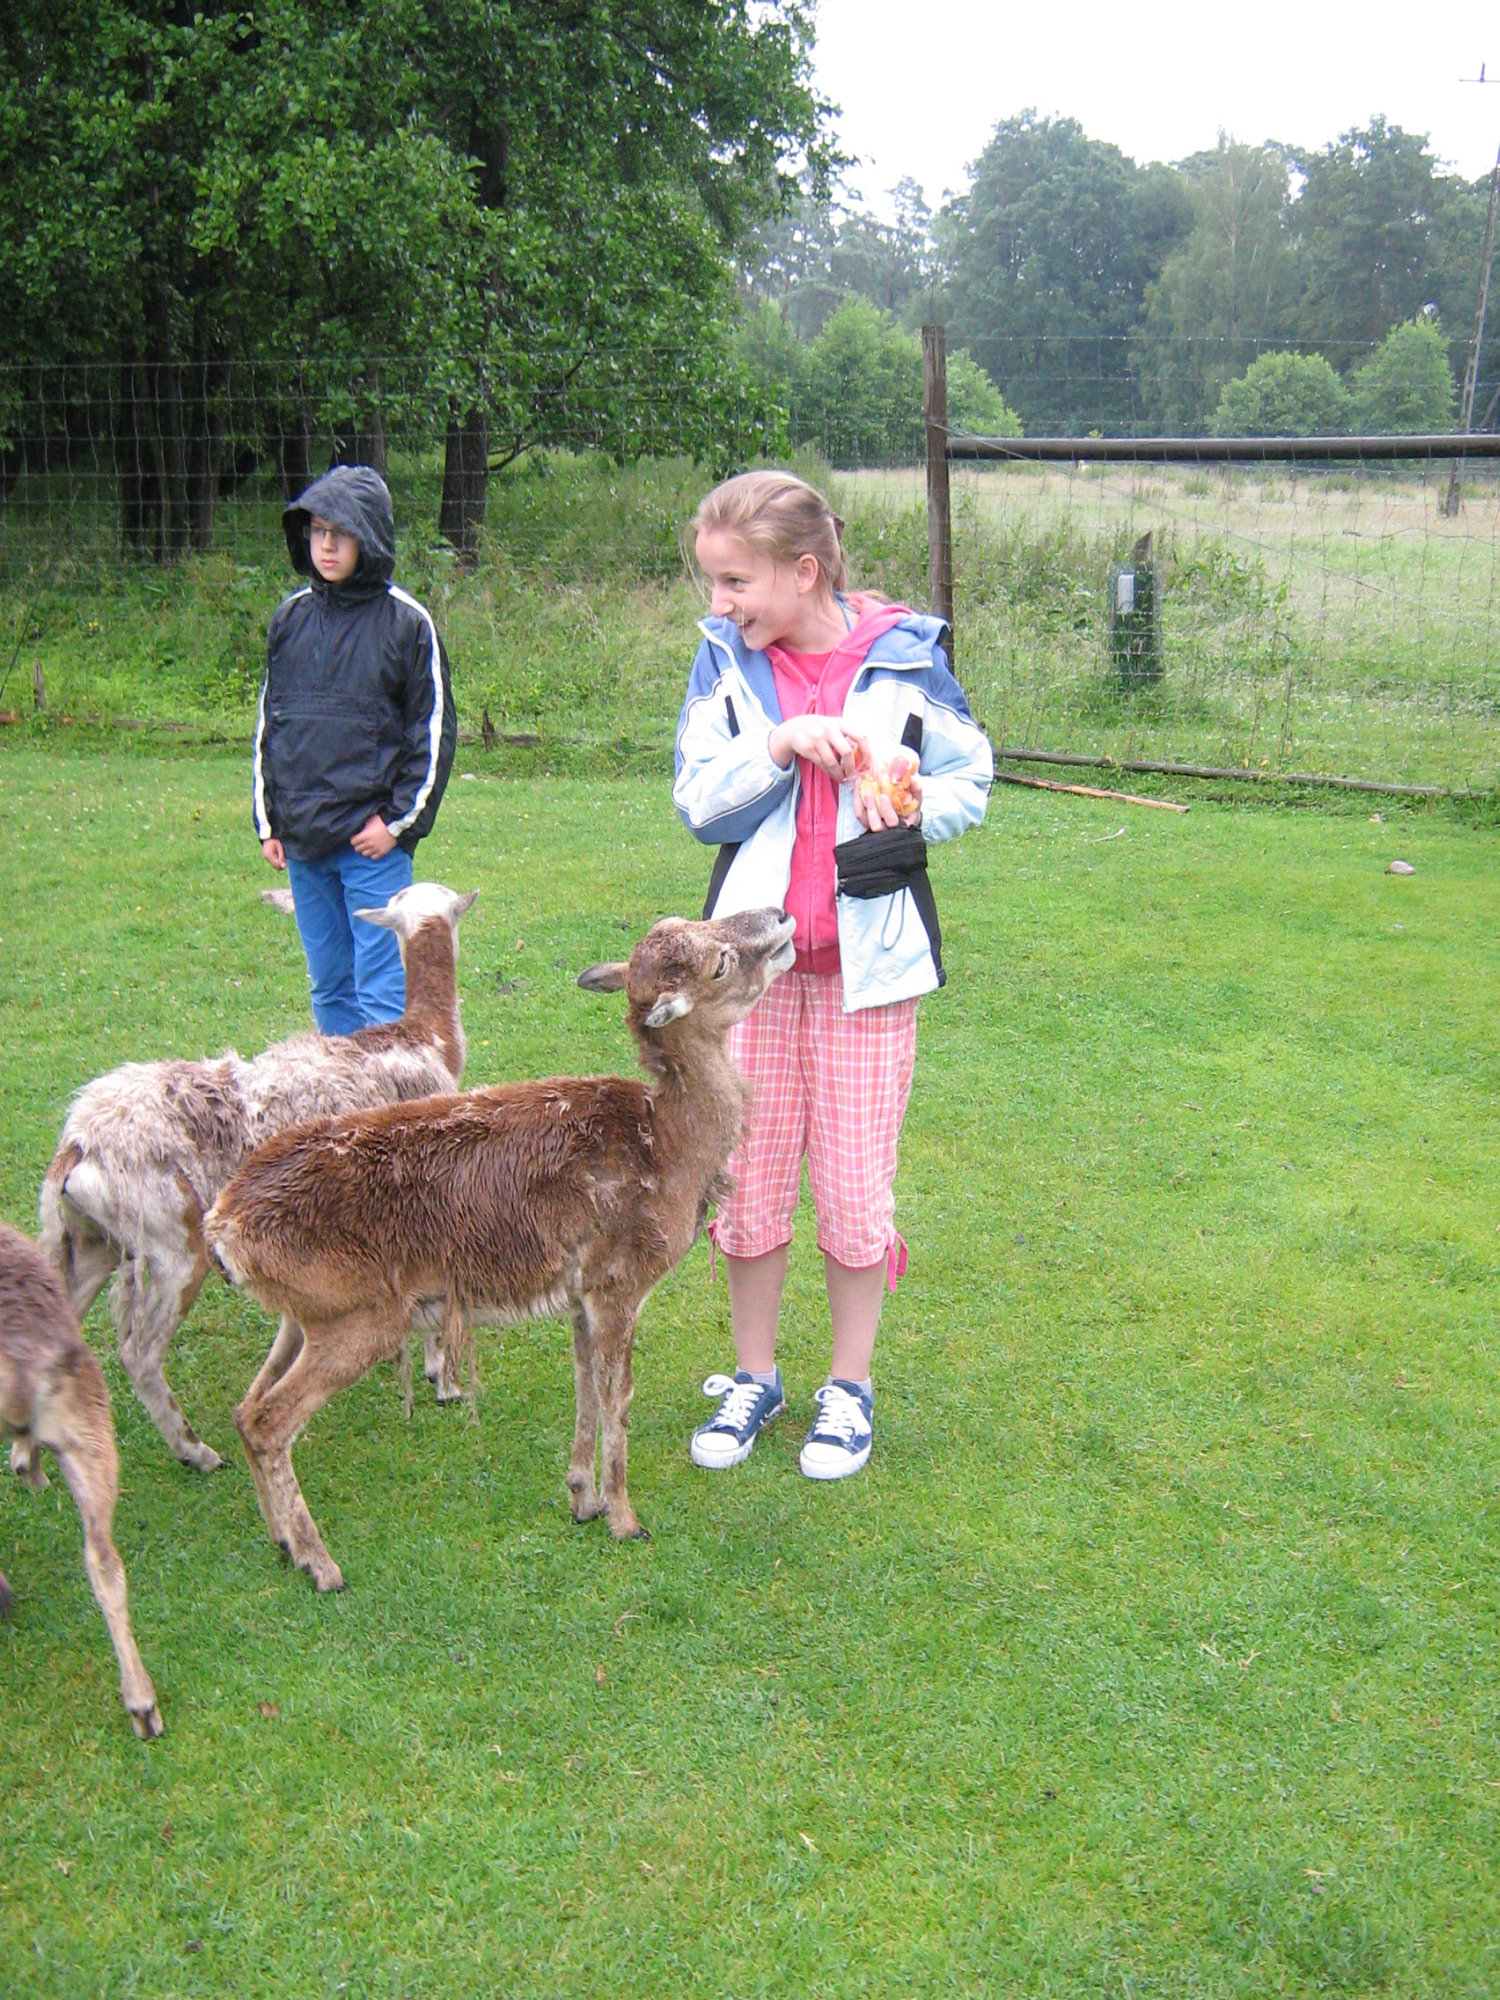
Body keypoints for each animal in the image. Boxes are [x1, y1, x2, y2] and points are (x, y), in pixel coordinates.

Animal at [39, 882, 478, 1472]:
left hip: (92, 1239)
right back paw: (196, 1451)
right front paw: (441, 1379)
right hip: (172, 1240)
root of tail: (78, 1143)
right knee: (138, 1352)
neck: (427, 1040)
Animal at [204, 906, 797, 1592]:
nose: (779, 915)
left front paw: (581, 1499)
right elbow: (618, 1398)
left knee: (246, 1409)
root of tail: (223, 1226)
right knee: (271, 1420)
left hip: (304, 1315)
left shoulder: (579, 1295)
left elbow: (584, 1388)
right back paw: (320, 1564)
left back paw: (280, 1539)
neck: (672, 1148)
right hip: (361, 1317)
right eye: (719, 962)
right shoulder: (620, 1282)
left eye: (687, 918)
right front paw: (625, 1518)